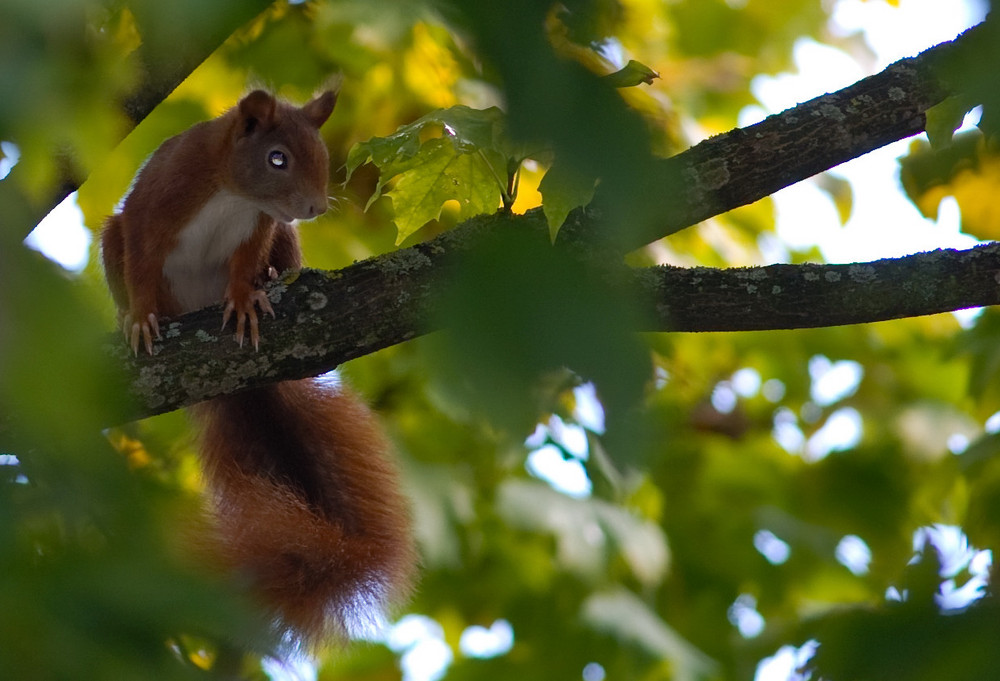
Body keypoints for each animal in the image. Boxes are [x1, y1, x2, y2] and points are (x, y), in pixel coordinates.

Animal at [100, 90, 414, 644]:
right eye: (277, 158)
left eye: (322, 155)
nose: (314, 207)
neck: (233, 195)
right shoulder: (152, 206)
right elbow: (140, 262)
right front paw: (139, 318)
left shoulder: (261, 226)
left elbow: (245, 263)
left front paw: (248, 296)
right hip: (112, 239)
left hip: (285, 237)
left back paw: (271, 281)